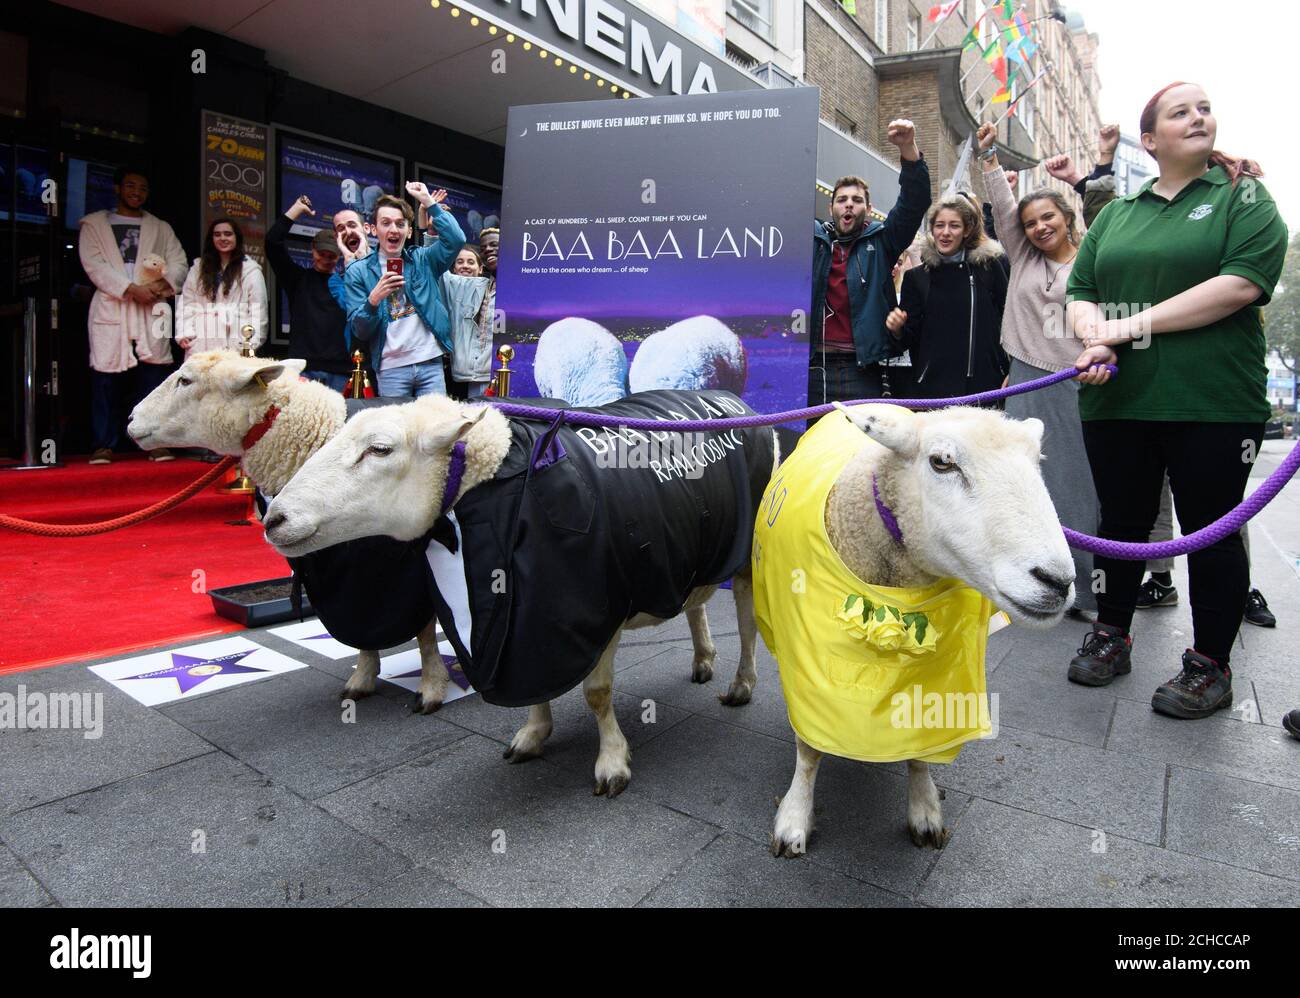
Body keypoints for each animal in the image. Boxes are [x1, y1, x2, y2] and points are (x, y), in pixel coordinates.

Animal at [127, 350, 452, 706]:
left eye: (185, 380)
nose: (130, 419)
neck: (319, 431)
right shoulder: (347, 570)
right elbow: (361, 623)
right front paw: (363, 677)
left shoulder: (408, 563)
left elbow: (424, 632)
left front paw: (431, 685)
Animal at [258, 387, 774, 795]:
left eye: (380, 449)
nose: (274, 519)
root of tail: (735, 401)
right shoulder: (525, 614)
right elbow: (533, 683)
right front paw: (533, 735)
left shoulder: (599, 606)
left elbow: (597, 692)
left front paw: (611, 763)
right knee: (696, 603)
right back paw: (703, 658)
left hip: (746, 558)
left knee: (747, 626)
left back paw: (741, 685)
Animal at [759, 400, 1071, 852]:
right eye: (942, 462)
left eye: (1037, 461)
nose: (1057, 581)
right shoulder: (808, 661)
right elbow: (809, 748)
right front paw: (794, 817)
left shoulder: (936, 673)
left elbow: (923, 745)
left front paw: (924, 809)